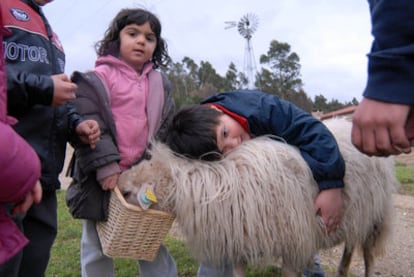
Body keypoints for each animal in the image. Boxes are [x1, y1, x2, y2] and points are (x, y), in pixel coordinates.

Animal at [118, 117, 400, 274]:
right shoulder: (240, 243)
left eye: (129, 192)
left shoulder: (294, 245)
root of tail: (346, 123)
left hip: (375, 216)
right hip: (357, 216)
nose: (118, 184)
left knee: (368, 255)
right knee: (350, 249)